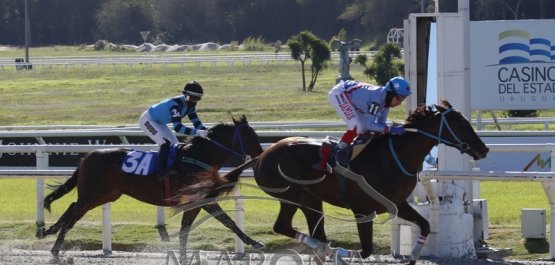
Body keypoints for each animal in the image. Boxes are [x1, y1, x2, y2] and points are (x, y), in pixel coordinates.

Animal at [35, 115, 266, 262]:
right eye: (249, 136)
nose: (260, 156)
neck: (199, 157)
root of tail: (88, 156)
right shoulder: (197, 200)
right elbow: (220, 222)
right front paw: (255, 243)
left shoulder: (200, 200)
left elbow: (204, 226)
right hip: (93, 194)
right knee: (73, 213)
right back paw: (54, 247)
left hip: (104, 195)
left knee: (71, 209)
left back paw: (48, 234)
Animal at [175, 99, 490, 264]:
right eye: (459, 123)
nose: (483, 149)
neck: (394, 156)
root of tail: (262, 155)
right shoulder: (363, 210)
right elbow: (365, 250)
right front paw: (338, 253)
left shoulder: (397, 204)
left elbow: (424, 225)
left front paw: (412, 256)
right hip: (292, 195)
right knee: (283, 227)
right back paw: (321, 249)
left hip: (311, 200)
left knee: (308, 229)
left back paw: (320, 248)